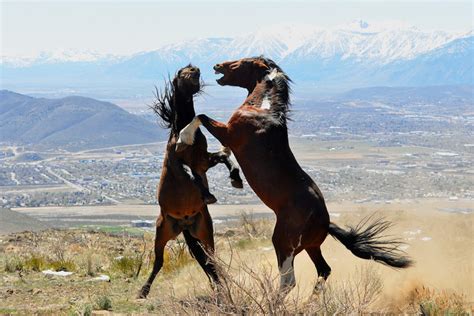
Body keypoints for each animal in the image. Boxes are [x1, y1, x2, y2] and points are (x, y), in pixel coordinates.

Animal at [136, 65, 241, 298]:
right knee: (158, 262)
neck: (183, 128)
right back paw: (143, 291)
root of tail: (184, 223)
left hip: (203, 232)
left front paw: (235, 178)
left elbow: (223, 157)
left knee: (210, 261)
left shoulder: (203, 161)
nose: (196, 70)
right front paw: (209, 195)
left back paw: (221, 290)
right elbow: (190, 174)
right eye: (182, 72)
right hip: (162, 233)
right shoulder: (178, 164)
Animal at [176, 56, 412, 294]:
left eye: (243, 62)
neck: (263, 109)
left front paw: (182, 139)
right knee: (324, 270)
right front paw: (234, 177)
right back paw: (311, 300)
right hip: (311, 246)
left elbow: (201, 117)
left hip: (283, 243)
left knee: (289, 281)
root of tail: (324, 222)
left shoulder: (228, 132)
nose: (217, 65)